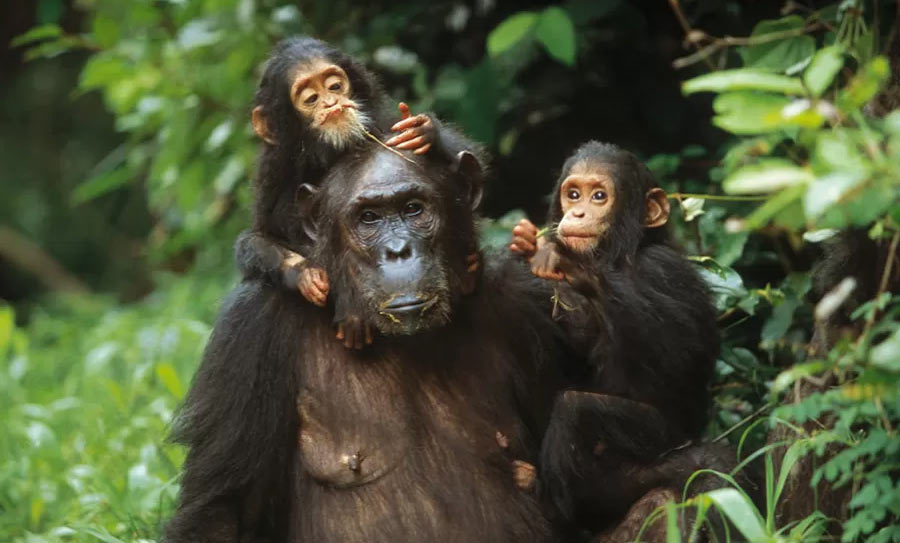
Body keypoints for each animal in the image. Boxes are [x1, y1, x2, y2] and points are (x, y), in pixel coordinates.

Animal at [163, 147, 564, 543]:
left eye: (413, 209)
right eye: (368, 218)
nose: (399, 251)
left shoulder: (532, 305)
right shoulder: (249, 330)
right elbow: (223, 510)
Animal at [236, 37, 482, 348]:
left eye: (334, 85)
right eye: (311, 98)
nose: (331, 102)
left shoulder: (382, 123)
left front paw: (424, 130)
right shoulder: (273, 173)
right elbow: (256, 238)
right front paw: (303, 273)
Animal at [510, 140, 728, 540]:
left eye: (599, 196)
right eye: (573, 194)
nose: (578, 212)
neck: (620, 257)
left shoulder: (663, 270)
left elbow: (675, 357)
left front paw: (573, 266)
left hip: (656, 446)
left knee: (576, 409)